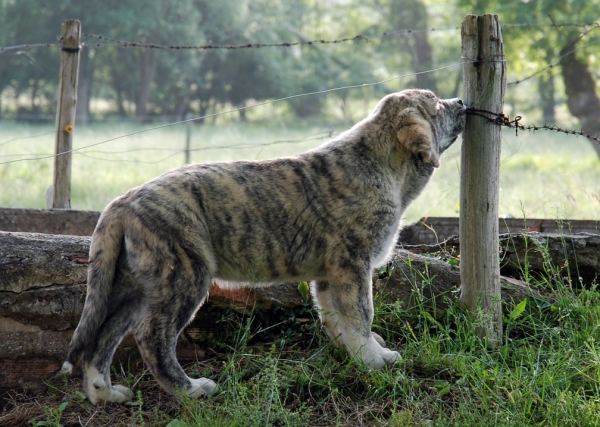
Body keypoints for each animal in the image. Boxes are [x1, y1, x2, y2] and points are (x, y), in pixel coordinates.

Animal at [62, 90, 464, 404]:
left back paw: (104, 394)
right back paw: (190, 390)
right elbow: (361, 315)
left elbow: (337, 319)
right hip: (184, 274)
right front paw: (373, 361)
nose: (461, 101)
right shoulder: (352, 265)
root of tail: (122, 202)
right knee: (151, 337)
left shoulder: (329, 275)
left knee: (103, 336)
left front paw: (357, 354)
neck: (382, 163)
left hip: (135, 285)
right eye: (435, 104)